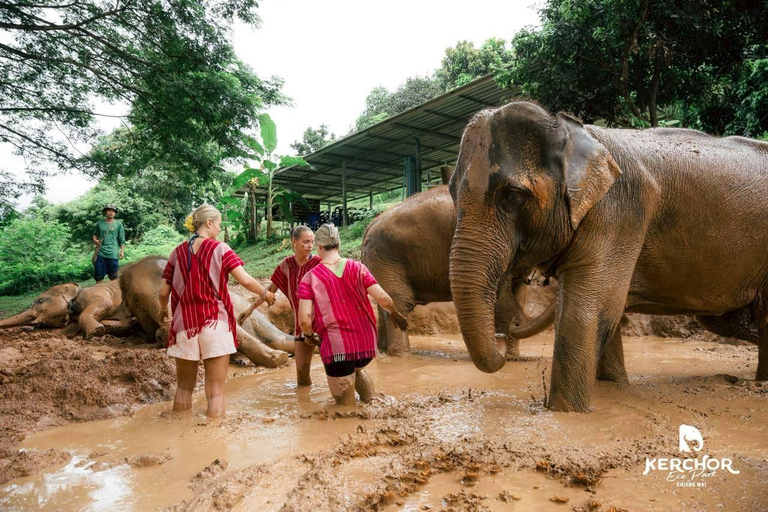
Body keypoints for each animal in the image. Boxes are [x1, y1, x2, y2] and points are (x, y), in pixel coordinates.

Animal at [361, 185, 555, 357]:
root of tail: (369, 226)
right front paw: (506, 354)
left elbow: (518, 294)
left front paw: (512, 355)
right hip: (387, 256)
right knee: (400, 300)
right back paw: (403, 356)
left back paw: (384, 352)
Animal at [448, 100, 768, 412]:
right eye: (451, 192)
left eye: (513, 195)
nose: (504, 337)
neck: (573, 132)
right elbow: (608, 310)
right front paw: (613, 385)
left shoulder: (619, 210)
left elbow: (588, 310)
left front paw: (565, 413)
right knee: (725, 319)